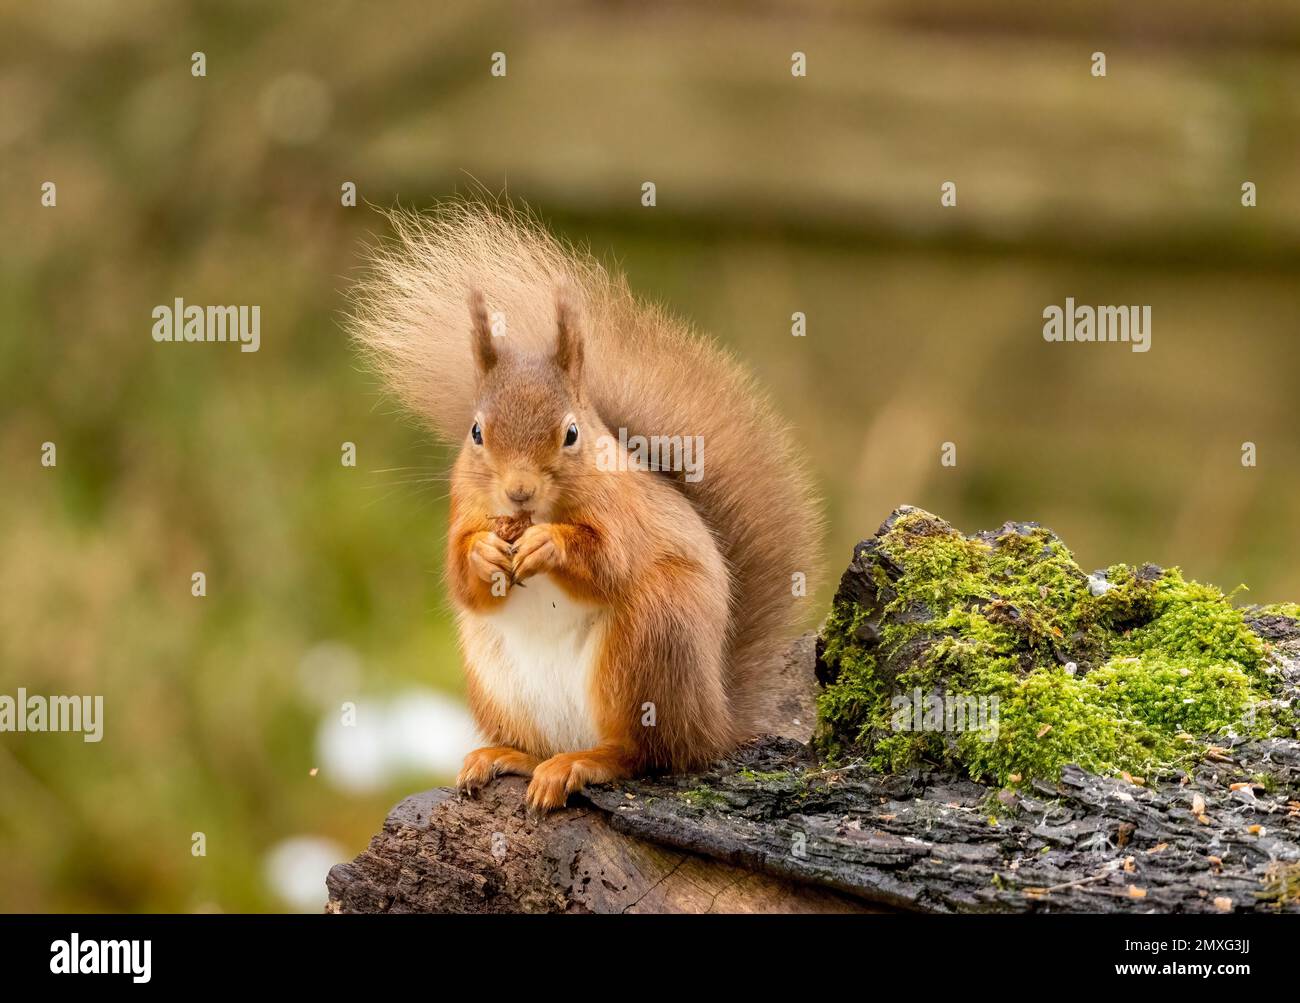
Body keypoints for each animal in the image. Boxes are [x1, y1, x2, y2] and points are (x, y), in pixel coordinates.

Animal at [350, 200, 821, 811]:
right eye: (476, 432)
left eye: (571, 433)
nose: (519, 491)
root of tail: (713, 721)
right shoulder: (463, 507)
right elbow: (460, 576)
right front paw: (484, 554)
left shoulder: (624, 515)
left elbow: (608, 562)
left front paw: (548, 545)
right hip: (499, 680)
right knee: (544, 747)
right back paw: (506, 756)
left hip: (648, 642)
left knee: (644, 754)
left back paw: (583, 763)